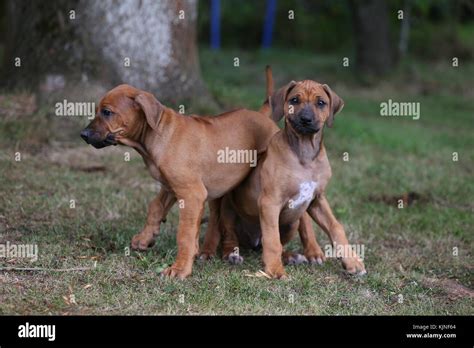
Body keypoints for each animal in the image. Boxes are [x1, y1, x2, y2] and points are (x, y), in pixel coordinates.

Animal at [80, 80, 284, 278]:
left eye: (107, 112)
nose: (83, 134)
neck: (158, 134)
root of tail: (263, 116)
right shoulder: (171, 187)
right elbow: (155, 207)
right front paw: (146, 238)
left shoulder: (191, 194)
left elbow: (184, 235)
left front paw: (180, 269)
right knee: (215, 217)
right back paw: (208, 251)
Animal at [205, 78, 366, 278]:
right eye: (294, 100)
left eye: (321, 103)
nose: (306, 119)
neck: (304, 153)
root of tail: (253, 243)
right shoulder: (270, 202)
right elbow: (272, 239)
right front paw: (275, 270)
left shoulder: (317, 199)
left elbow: (336, 227)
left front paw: (352, 262)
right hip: (229, 210)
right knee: (231, 236)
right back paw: (232, 254)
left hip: (292, 222)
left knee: (278, 245)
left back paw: (291, 256)